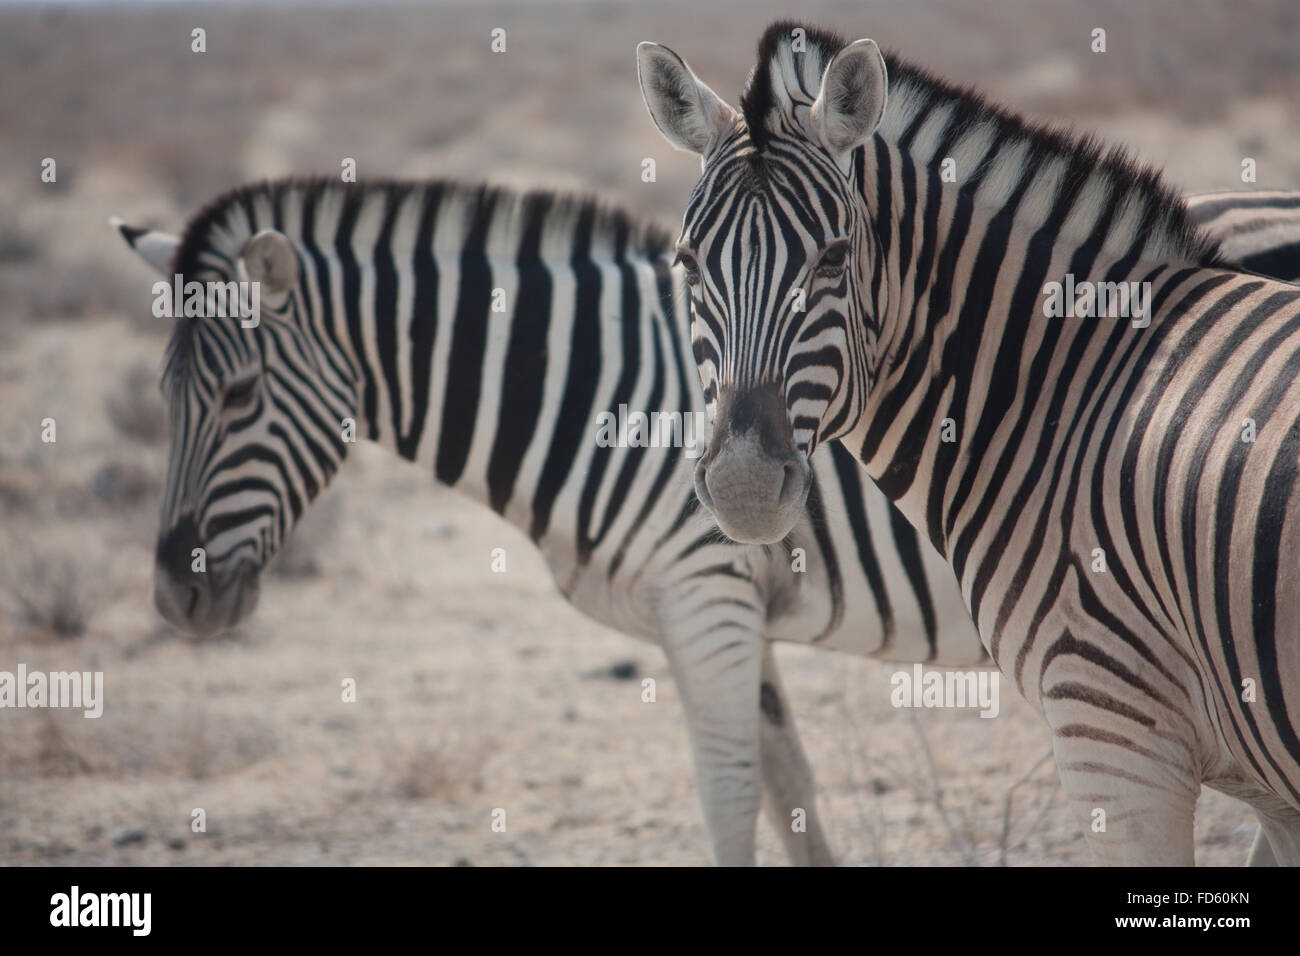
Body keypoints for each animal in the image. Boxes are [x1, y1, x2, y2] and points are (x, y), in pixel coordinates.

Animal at [112, 179, 1300, 867]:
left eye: (237, 399)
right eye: (162, 399)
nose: (176, 594)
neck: (590, 384)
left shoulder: (704, 593)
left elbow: (728, 798)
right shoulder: (733, 609)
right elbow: (789, 793)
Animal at [638, 21, 1300, 865]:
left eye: (832, 257)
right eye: (687, 263)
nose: (744, 490)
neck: (1064, 387)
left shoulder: (1113, 739)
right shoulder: (1263, 791)